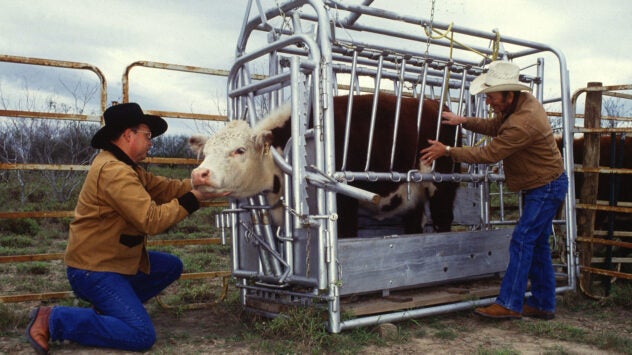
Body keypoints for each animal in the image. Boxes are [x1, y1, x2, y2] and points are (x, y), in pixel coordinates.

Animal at [189, 94, 460, 239]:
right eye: (206, 152)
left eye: (239, 150)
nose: (199, 174)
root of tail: (438, 105)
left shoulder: (344, 200)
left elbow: (347, 234)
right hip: (413, 191)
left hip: (444, 185)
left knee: (443, 219)